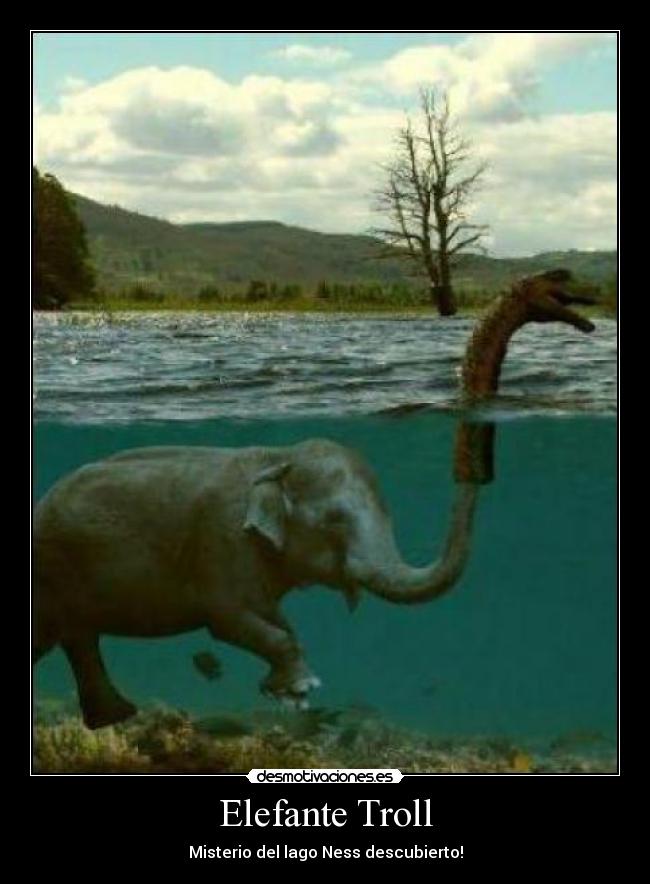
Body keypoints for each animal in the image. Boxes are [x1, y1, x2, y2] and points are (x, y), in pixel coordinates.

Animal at [33, 268, 596, 729]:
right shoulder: (221, 547)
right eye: (334, 522)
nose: (585, 301)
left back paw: (116, 718)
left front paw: (287, 691)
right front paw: (300, 691)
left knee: (76, 638)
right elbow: (229, 619)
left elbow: (275, 619)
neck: (275, 458)